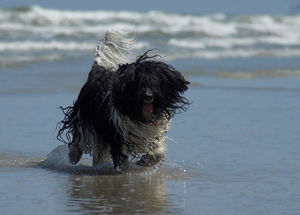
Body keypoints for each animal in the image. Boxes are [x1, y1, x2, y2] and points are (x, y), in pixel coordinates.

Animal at [57, 29, 189, 170]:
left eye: (155, 82)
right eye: (138, 83)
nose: (148, 96)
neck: (140, 115)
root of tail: (97, 72)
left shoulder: (153, 132)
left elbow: (158, 150)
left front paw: (146, 161)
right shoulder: (117, 134)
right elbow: (121, 155)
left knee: (97, 152)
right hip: (85, 116)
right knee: (80, 138)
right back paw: (74, 156)